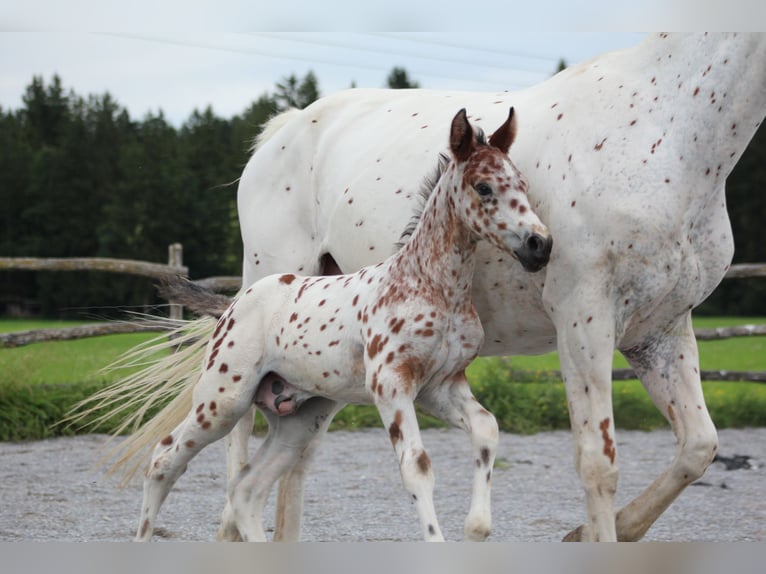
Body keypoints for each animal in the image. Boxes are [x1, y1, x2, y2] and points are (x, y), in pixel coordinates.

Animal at [138, 109, 552, 544]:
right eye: (483, 186)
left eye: (522, 184)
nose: (539, 244)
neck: (430, 285)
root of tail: (232, 304)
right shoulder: (390, 383)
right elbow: (416, 467)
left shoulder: (441, 385)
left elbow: (487, 430)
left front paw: (476, 527)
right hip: (222, 400)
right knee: (163, 460)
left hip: (296, 419)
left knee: (246, 489)